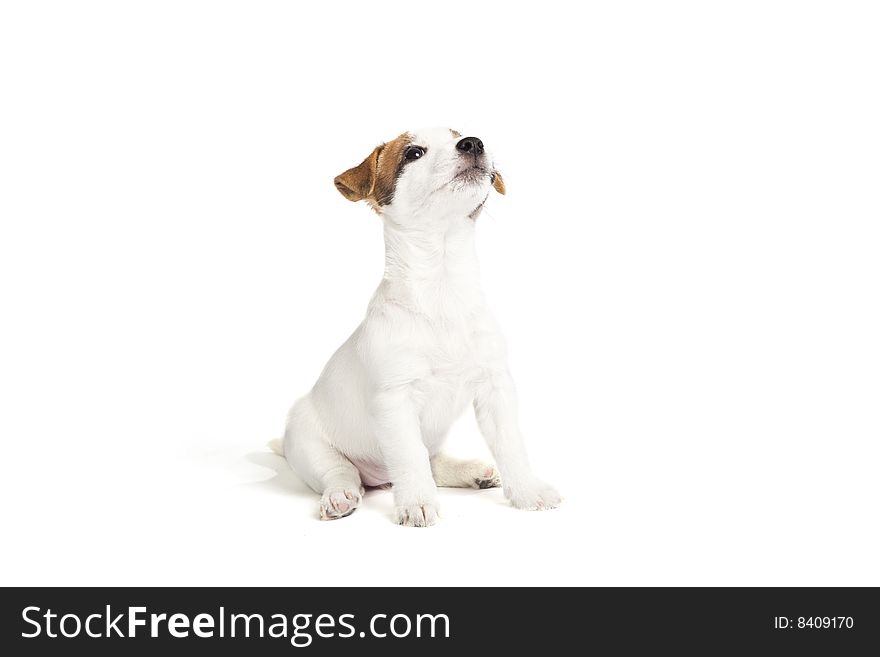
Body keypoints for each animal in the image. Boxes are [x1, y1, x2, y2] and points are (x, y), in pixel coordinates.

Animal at [278, 129, 560, 528]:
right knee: (343, 472)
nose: (474, 142)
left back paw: (473, 472)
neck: (443, 286)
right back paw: (340, 496)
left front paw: (528, 492)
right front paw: (417, 504)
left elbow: (511, 445)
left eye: (462, 135)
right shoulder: (395, 401)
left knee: (432, 461)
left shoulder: (496, 389)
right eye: (413, 153)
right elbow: (409, 459)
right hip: (311, 448)